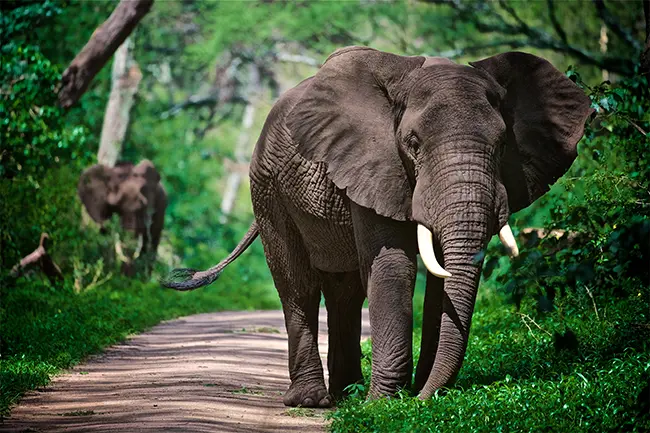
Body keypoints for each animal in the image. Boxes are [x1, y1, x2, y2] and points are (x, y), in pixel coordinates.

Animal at [163, 48, 592, 408]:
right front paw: (385, 406)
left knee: (345, 291)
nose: (424, 399)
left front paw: (403, 396)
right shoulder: (372, 163)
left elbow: (438, 281)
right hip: (267, 186)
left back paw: (347, 394)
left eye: (503, 144)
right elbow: (393, 268)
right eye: (413, 143)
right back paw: (312, 401)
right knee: (298, 285)